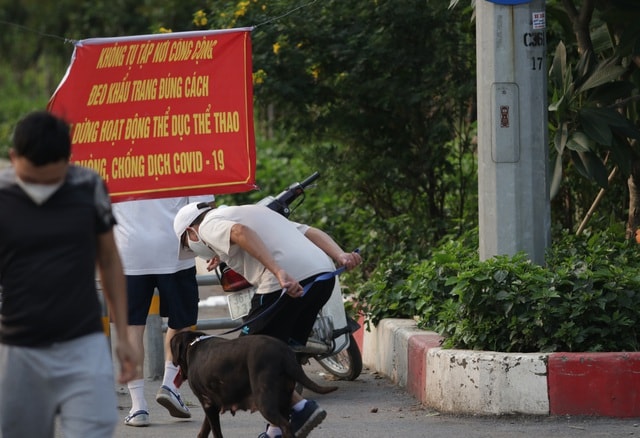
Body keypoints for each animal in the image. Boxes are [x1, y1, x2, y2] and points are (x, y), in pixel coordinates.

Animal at [170, 330, 340, 436]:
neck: (192, 344)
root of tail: (284, 353)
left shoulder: (207, 403)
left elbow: (216, 431)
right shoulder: (213, 404)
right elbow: (205, 430)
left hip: (264, 401)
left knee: (285, 425)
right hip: (284, 398)